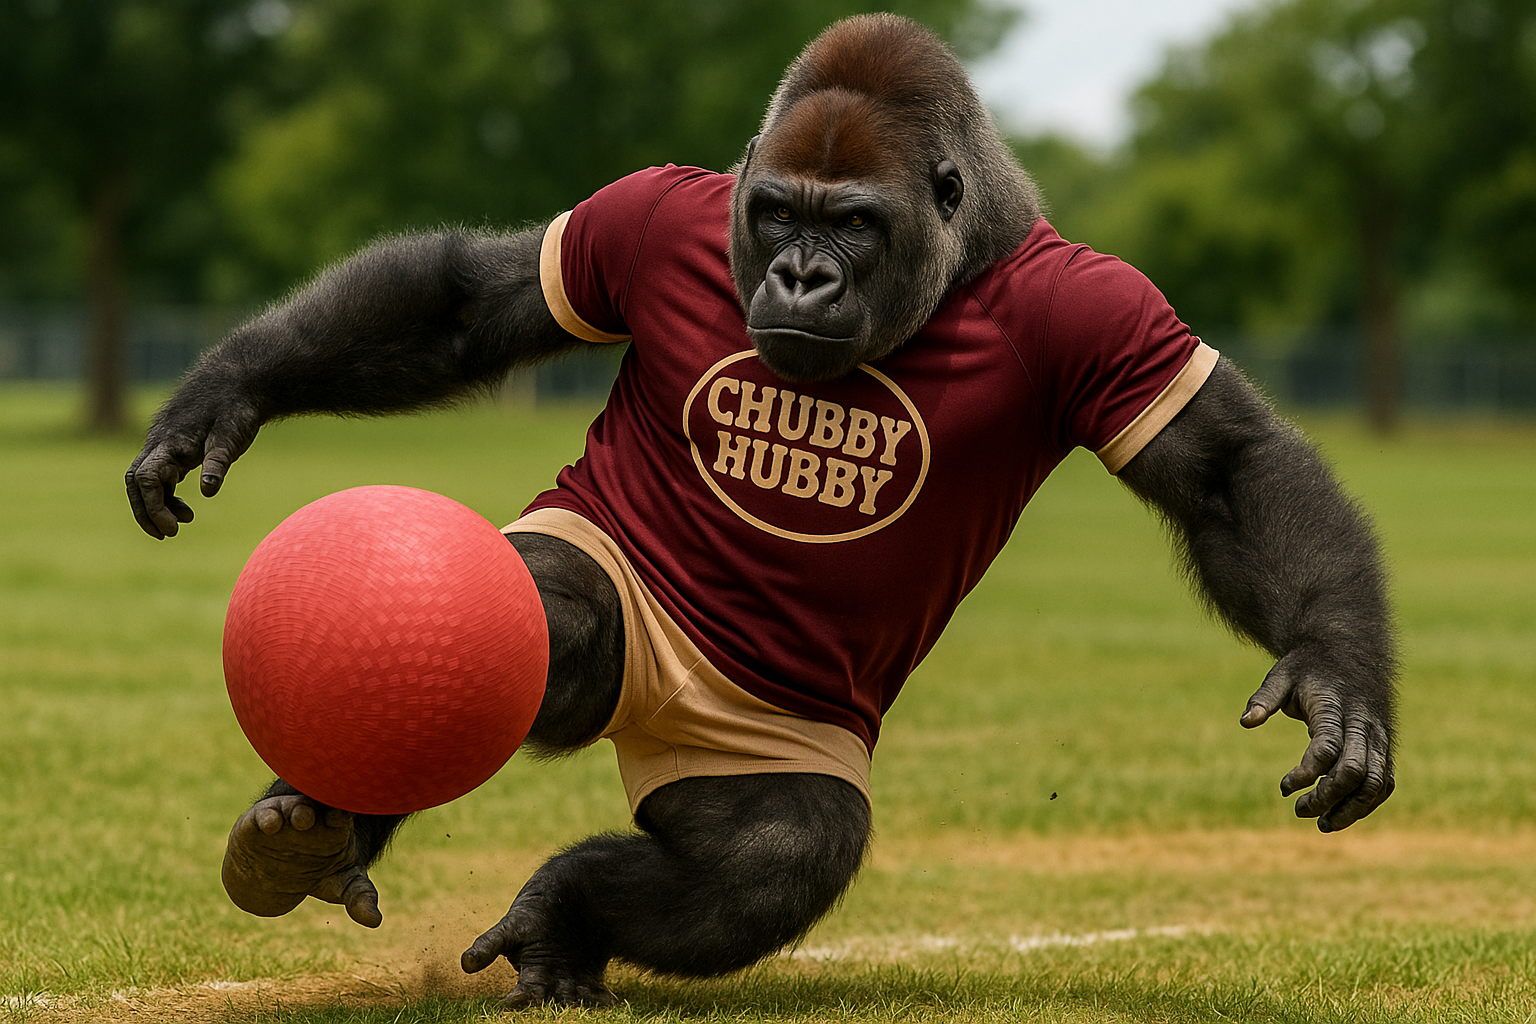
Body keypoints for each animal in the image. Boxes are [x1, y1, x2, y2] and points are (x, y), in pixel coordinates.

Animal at [125, 14, 1396, 1010]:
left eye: (854, 224)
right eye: (780, 214)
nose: (799, 275)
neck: (954, 260)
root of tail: (658, 710)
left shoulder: (1103, 315)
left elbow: (1227, 464)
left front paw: (1336, 681)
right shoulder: (639, 218)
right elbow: (472, 304)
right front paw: (226, 390)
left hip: (758, 739)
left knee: (769, 854)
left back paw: (565, 912)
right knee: (548, 617)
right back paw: (321, 824)